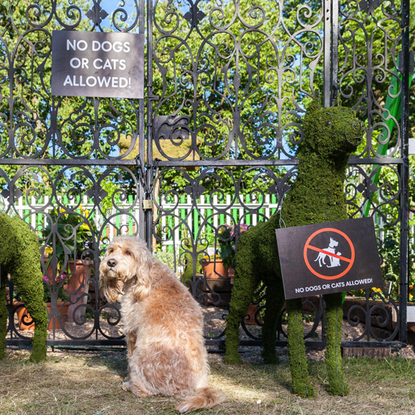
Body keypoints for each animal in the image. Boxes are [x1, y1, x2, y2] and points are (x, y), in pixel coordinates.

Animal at [99, 236, 226, 414]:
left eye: (128, 252)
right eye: (111, 250)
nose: (111, 262)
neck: (143, 277)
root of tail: (191, 389)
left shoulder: (131, 331)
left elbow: (128, 360)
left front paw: (128, 379)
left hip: (140, 357)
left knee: (145, 391)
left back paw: (131, 386)